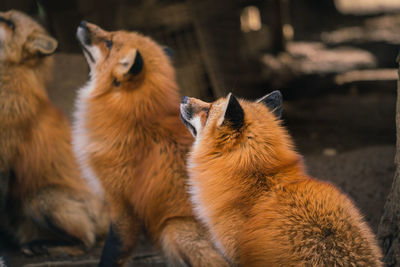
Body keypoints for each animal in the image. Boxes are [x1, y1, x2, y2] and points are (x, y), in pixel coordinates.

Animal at [73, 21, 227, 267]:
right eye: (110, 35)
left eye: (109, 42)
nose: (82, 23)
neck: (136, 120)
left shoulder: (122, 204)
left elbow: (113, 250)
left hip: (173, 228)